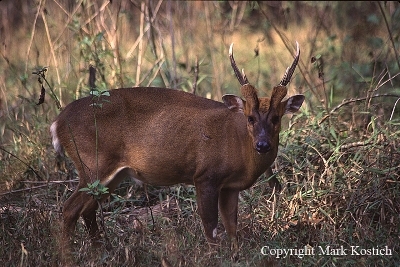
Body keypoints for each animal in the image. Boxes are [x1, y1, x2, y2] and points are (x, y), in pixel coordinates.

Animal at [52, 42, 304, 260]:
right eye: (250, 118)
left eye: (276, 118)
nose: (263, 145)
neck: (239, 145)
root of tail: (58, 122)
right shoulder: (205, 175)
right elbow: (210, 225)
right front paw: (214, 257)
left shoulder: (230, 186)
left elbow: (232, 226)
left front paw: (236, 256)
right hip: (92, 163)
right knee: (69, 208)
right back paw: (68, 258)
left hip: (112, 174)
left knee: (88, 209)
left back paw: (100, 252)